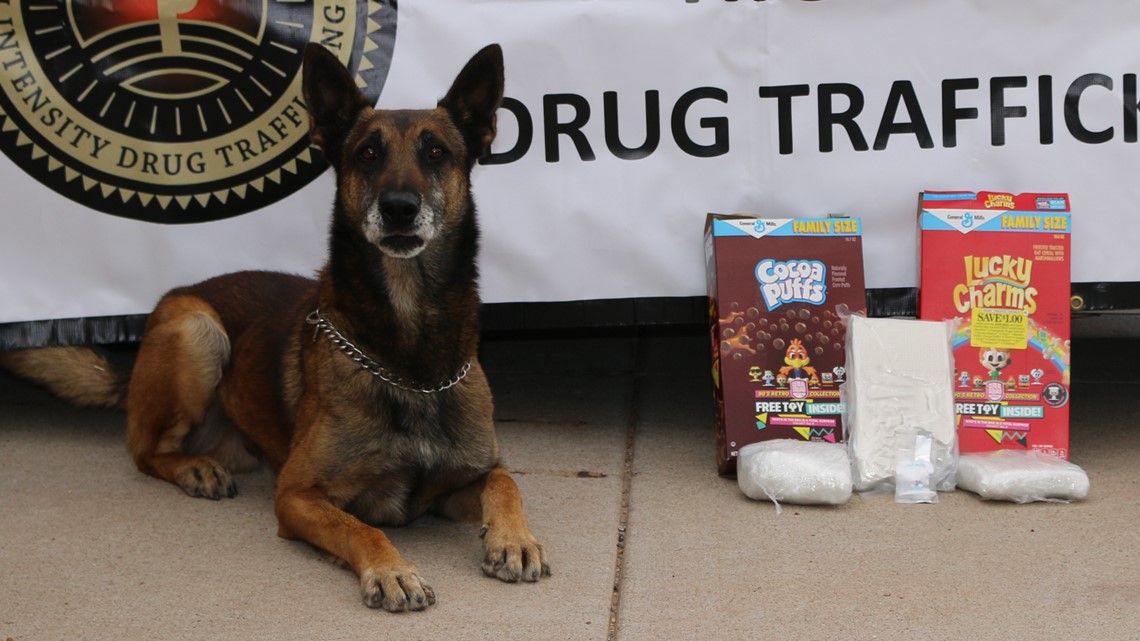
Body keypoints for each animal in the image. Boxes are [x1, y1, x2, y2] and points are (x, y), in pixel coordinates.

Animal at [0, 42, 551, 611]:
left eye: (437, 152)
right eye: (367, 154)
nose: (399, 208)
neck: (407, 356)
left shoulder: (463, 479)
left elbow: (506, 481)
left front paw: (514, 540)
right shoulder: (297, 495)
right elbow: (362, 528)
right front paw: (393, 570)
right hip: (197, 327)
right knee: (146, 452)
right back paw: (194, 467)